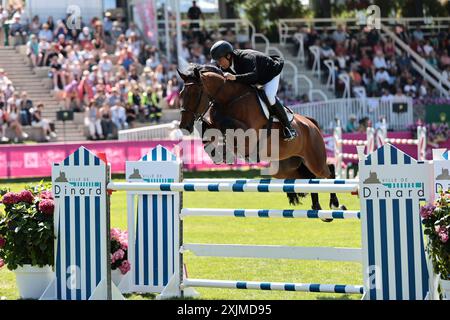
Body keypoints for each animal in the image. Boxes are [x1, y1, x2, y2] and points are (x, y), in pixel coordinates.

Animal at [178, 63, 346, 214]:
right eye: (181, 94)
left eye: (195, 94)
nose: (184, 126)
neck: (229, 99)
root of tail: (311, 123)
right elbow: (209, 129)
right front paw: (219, 154)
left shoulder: (248, 135)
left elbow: (225, 124)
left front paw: (225, 152)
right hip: (285, 168)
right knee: (310, 179)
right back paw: (316, 206)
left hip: (314, 160)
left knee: (328, 171)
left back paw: (335, 204)